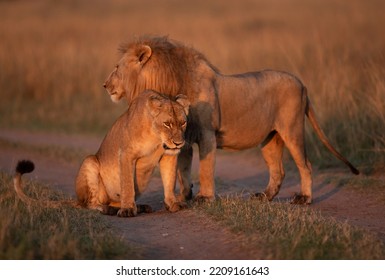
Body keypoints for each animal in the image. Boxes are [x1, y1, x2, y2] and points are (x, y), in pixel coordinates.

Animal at [13, 90, 189, 217]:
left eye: (183, 123)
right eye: (167, 124)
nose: (179, 143)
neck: (156, 138)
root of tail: (77, 199)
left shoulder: (168, 156)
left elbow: (169, 180)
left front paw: (172, 203)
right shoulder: (126, 154)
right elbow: (127, 184)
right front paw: (127, 210)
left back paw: (139, 207)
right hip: (90, 161)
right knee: (89, 204)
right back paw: (108, 209)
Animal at [103, 36, 356, 205]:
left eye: (116, 67)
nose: (105, 85)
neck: (173, 82)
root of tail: (302, 83)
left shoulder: (206, 133)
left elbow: (205, 168)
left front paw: (204, 197)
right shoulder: (183, 136)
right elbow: (182, 169)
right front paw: (184, 195)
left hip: (292, 130)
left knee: (306, 165)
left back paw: (304, 198)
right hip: (270, 138)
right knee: (278, 170)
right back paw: (264, 196)